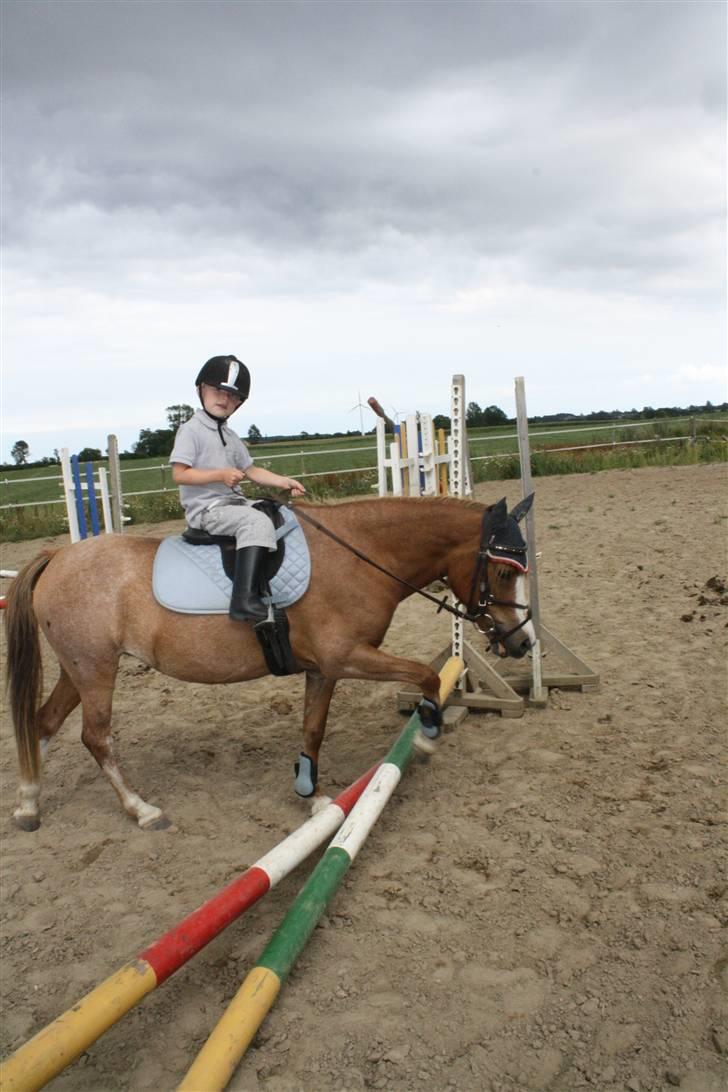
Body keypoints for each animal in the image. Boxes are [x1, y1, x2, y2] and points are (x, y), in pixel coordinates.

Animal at [5, 491, 534, 829]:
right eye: (505, 573)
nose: (524, 643)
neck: (361, 556)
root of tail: (56, 556)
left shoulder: (323, 670)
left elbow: (312, 729)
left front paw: (313, 796)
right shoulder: (346, 658)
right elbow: (424, 675)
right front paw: (425, 735)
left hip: (80, 669)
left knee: (42, 722)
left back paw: (29, 804)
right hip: (96, 669)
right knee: (95, 737)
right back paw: (142, 809)